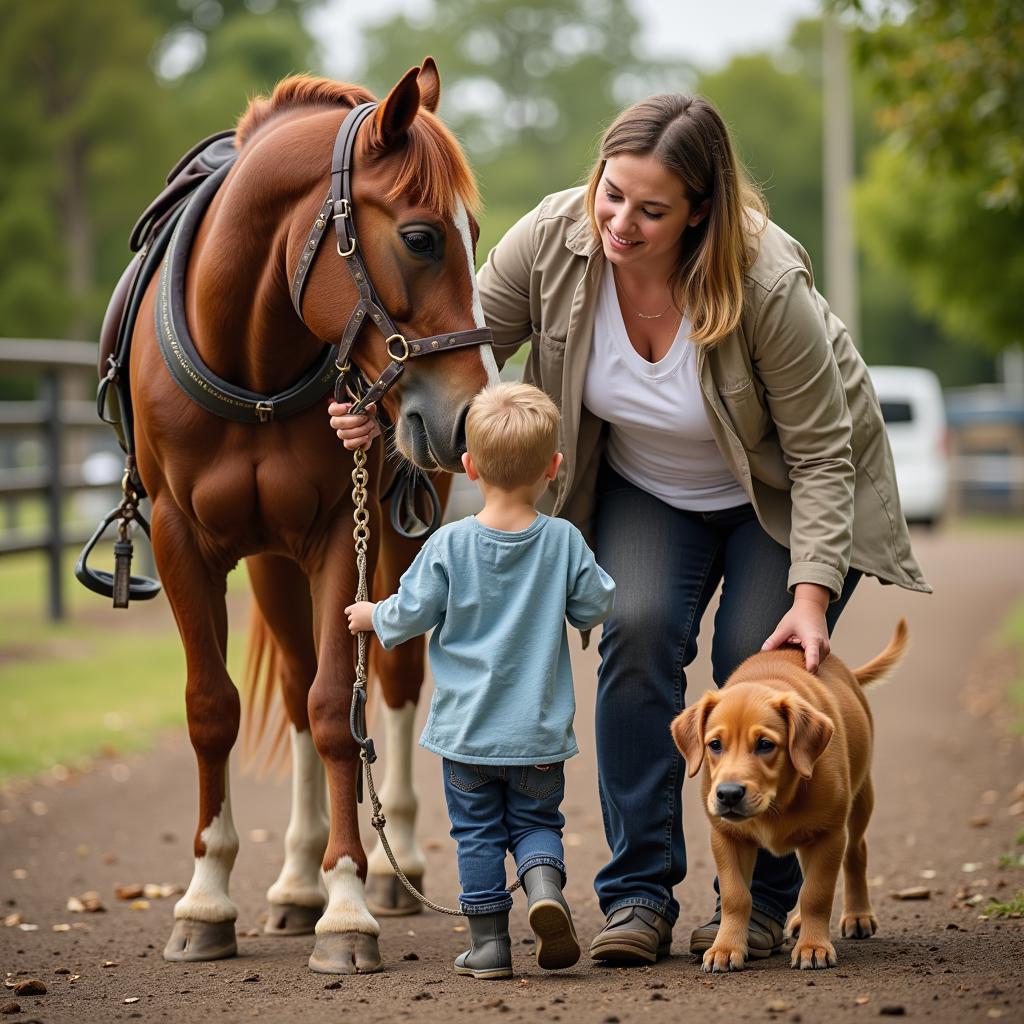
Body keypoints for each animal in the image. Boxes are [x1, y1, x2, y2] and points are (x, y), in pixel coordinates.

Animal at [130, 59, 497, 970]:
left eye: (475, 231)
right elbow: (214, 708)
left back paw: (391, 871)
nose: (467, 418)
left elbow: (341, 709)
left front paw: (349, 905)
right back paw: (294, 883)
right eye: (421, 238)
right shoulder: (181, 538)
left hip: (396, 540)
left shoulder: (344, 535)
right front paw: (206, 899)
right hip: (269, 560)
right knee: (295, 689)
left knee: (390, 686)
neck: (249, 356)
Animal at [675, 618, 909, 970]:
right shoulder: (727, 837)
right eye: (715, 744)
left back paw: (857, 915)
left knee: (856, 852)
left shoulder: (829, 835)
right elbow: (735, 896)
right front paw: (725, 948)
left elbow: (816, 893)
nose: (728, 794)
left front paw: (814, 947)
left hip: (859, 800)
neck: (778, 801)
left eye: (765, 744)